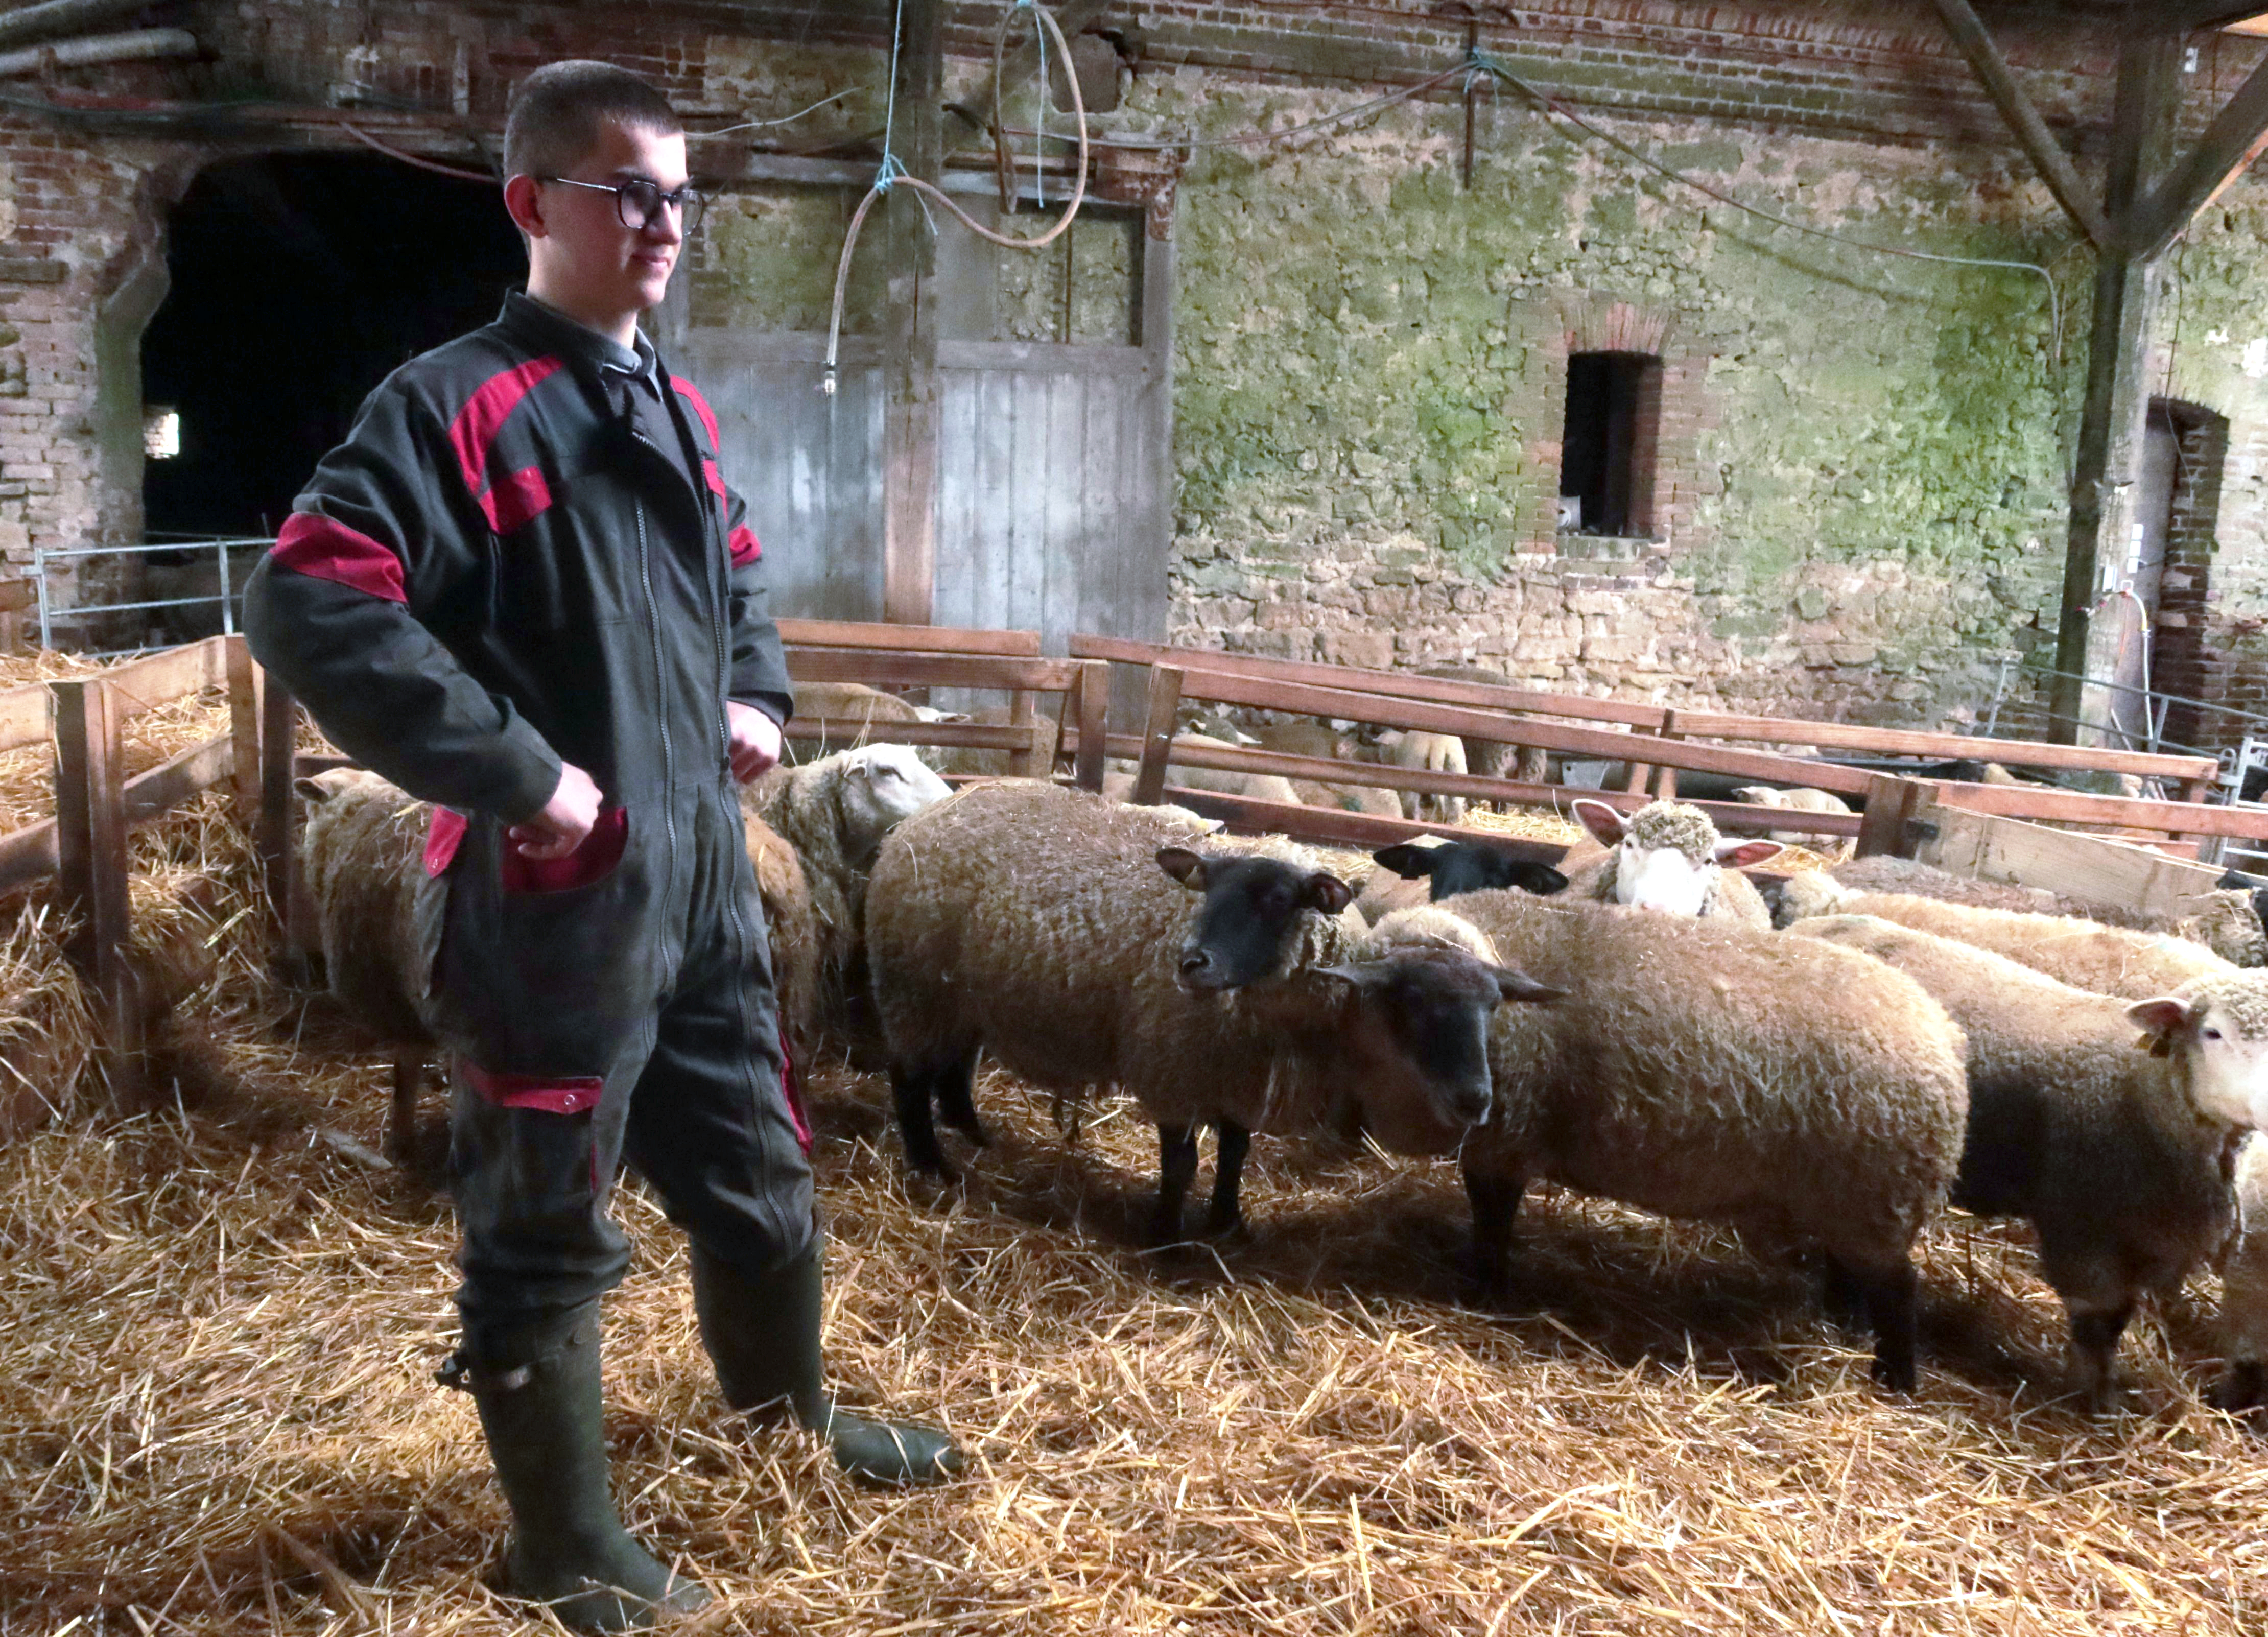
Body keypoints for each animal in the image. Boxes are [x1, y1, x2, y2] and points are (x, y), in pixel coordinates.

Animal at [857, 784, 1569, 1233]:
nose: (1192, 963)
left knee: (952, 1068)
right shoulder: (1176, 1065)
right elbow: (1182, 1164)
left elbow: (1234, 1154)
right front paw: (1168, 1235)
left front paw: (1228, 1223)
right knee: (910, 1077)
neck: (1267, 1020)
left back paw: (973, 1133)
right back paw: (932, 1165)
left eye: (1278, 900)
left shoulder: (1239, 1076)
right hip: (913, 986)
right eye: (1208, 889)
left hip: (958, 996)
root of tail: (924, 819)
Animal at [1415, 880, 1968, 1387]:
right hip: (1848, 1202)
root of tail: (1946, 1038)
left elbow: (1492, 1220)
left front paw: (1485, 1288)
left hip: (1876, 1201)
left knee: (1899, 1289)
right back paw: (1841, 1320)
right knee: (1852, 1271)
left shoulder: (1503, 1141)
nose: (1471, 1095)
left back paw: (1894, 1378)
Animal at [1778, 907, 2268, 1406]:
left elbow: (2118, 1322)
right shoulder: (2083, 1232)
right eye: (2213, 1032)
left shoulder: (2148, 1238)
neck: (2144, 1091)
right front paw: (2085, 1399)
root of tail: (1821, 924)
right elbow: (2096, 1327)